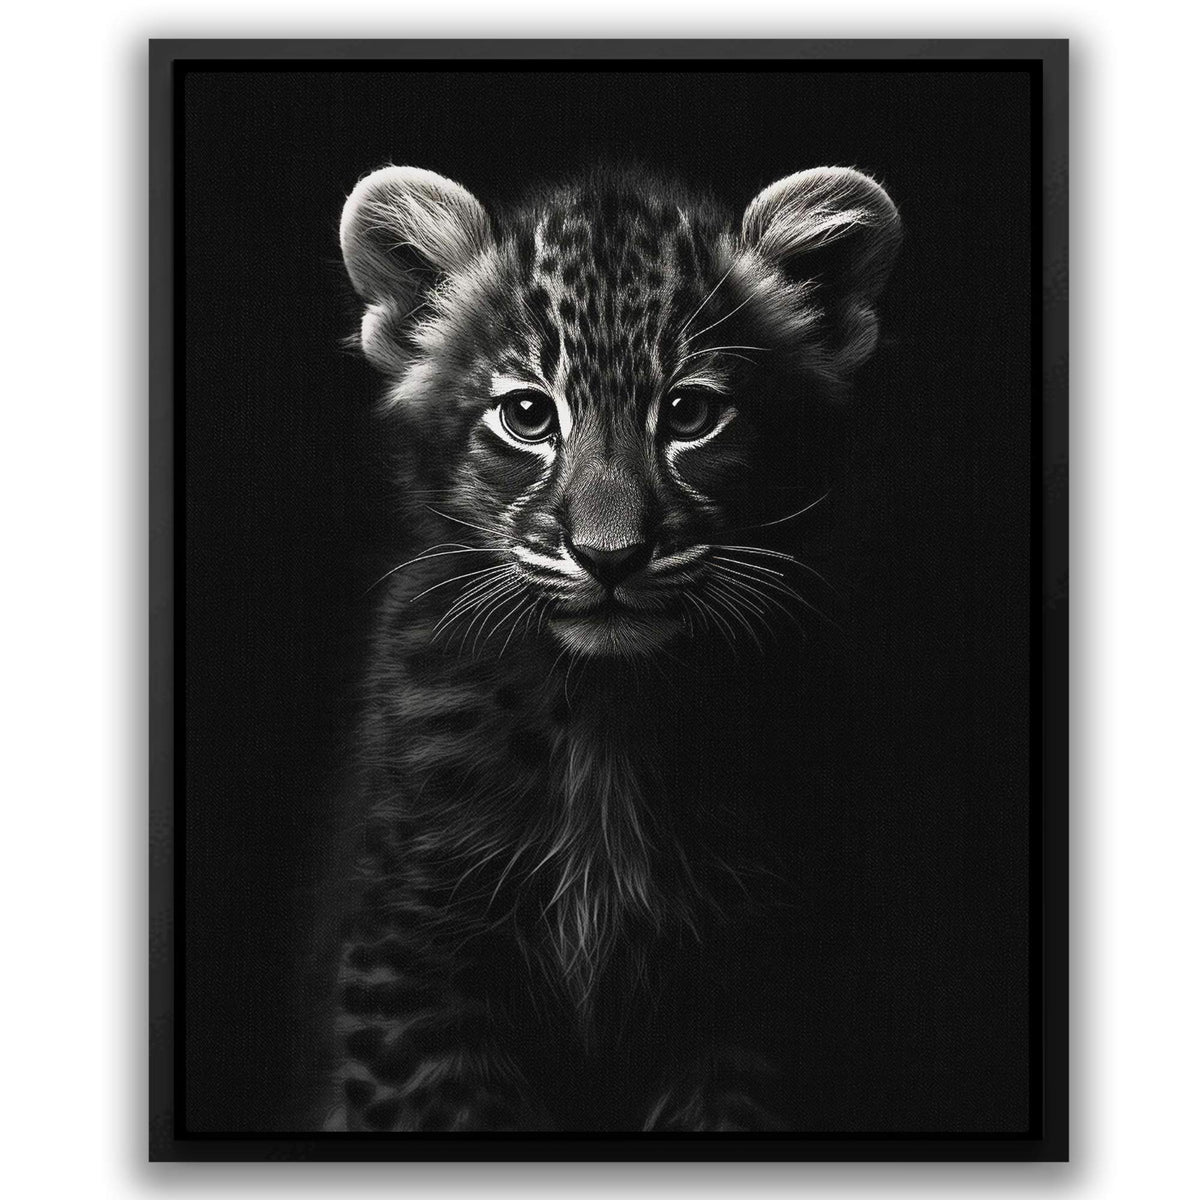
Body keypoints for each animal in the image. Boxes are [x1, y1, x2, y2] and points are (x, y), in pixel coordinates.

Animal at [318, 162, 901, 1132]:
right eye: (526, 415)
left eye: (691, 413)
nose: (610, 555)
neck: (607, 713)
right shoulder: (418, 951)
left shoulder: (753, 976)